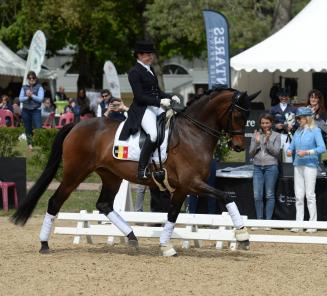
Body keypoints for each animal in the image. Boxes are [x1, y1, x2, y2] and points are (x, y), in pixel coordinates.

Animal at [11, 86, 260, 256]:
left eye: (248, 115)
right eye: (238, 115)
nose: (239, 146)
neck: (193, 133)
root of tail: (77, 125)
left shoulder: (182, 188)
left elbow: (173, 214)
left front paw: (165, 246)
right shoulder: (192, 183)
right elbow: (226, 195)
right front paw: (243, 235)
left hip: (111, 176)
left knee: (104, 204)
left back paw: (132, 237)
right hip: (75, 174)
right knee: (55, 201)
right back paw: (44, 244)